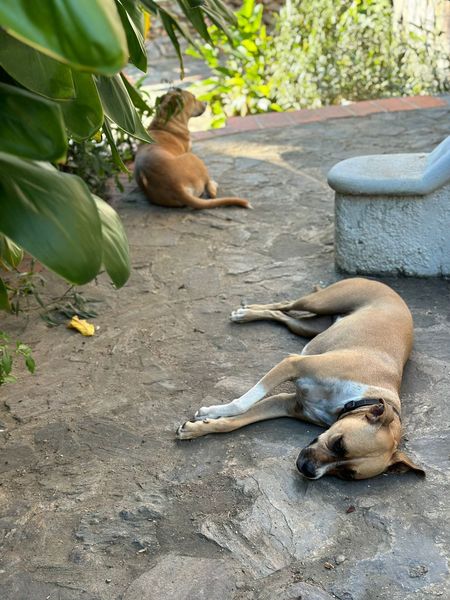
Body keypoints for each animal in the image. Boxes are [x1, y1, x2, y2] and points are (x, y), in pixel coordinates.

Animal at [176, 278, 425, 480]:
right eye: (339, 444)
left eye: (347, 474)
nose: (308, 470)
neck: (360, 397)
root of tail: (392, 291)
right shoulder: (292, 364)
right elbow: (242, 403)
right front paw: (210, 412)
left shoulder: (285, 403)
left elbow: (234, 423)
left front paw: (198, 428)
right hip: (319, 302)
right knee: (287, 304)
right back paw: (245, 313)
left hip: (308, 327)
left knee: (283, 315)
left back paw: (249, 313)